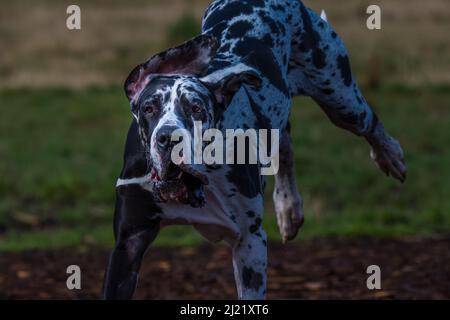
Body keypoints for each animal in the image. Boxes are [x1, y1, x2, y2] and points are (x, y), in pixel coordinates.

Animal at [103, 0, 408, 300]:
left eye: (196, 108)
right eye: (149, 108)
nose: (168, 138)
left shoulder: (249, 242)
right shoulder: (129, 242)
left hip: (341, 99)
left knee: (369, 122)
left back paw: (390, 156)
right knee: (285, 144)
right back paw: (288, 207)